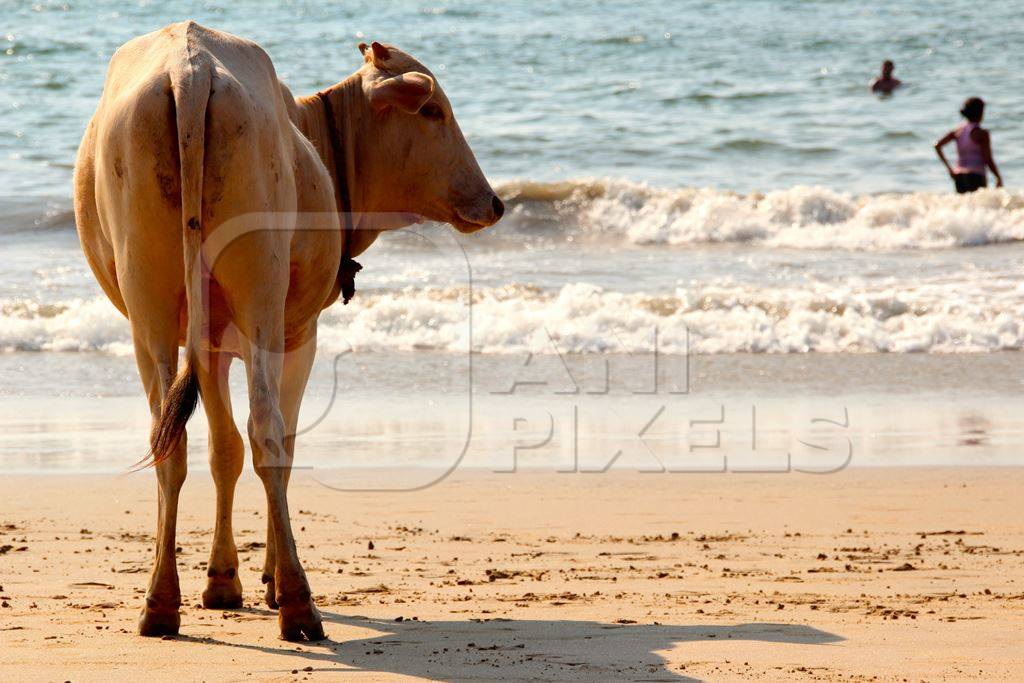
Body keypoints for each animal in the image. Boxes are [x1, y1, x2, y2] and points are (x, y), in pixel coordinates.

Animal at [73, 21, 503, 643]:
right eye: (433, 111)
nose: (495, 203)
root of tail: (189, 67)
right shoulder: (299, 332)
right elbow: (280, 444)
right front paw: (266, 579)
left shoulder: (211, 343)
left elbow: (222, 451)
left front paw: (222, 580)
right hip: (263, 302)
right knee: (269, 435)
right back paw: (299, 603)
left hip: (149, 303)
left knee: (170, 440)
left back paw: (160, 602)